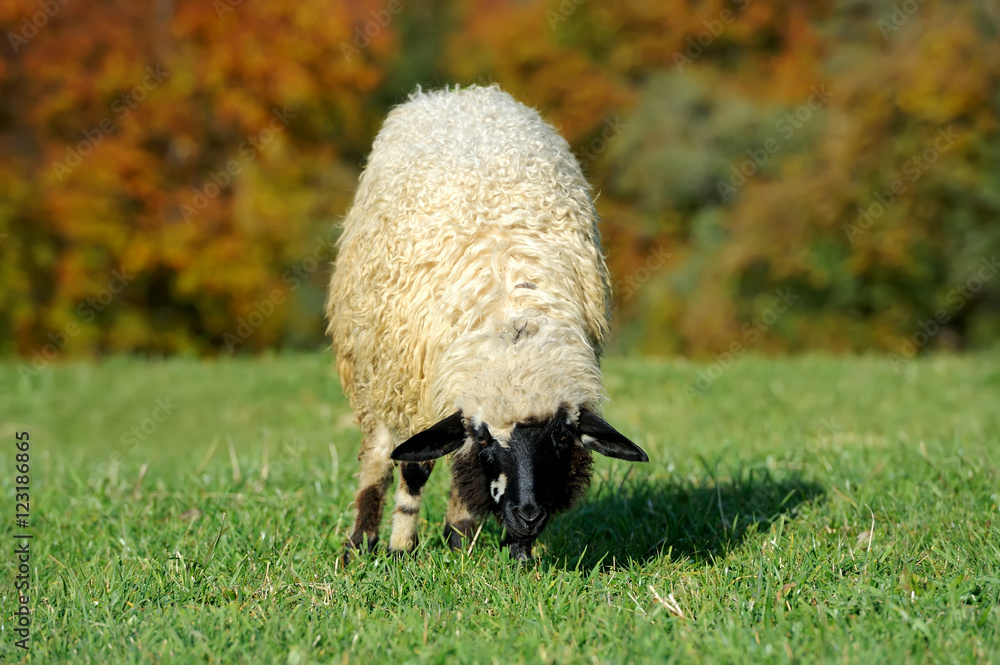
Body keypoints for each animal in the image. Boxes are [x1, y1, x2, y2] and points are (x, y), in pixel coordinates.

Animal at [324, 83, 644, 560]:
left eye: (560, 438)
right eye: (487, 440)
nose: (528, 516)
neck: (511, 325)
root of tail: (458, 94)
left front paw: (467, 543)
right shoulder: (423, 388)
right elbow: (416, 466)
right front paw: (401, 547)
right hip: (377, 366)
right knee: (382, 455)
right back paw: (363, 542)